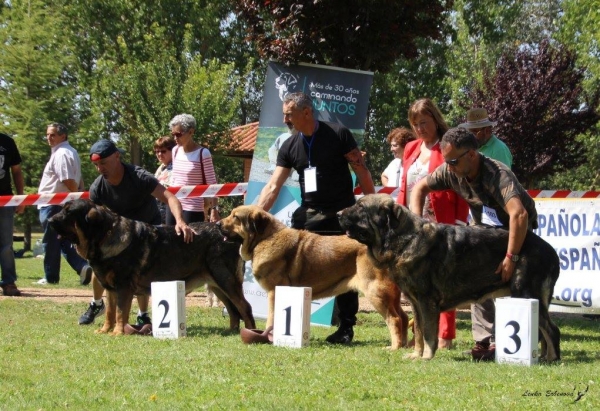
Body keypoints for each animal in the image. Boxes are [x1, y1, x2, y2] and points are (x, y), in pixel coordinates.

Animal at [47, 200, 253, 338]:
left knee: (244, 306)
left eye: (68, 212)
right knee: (233, 310)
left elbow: (120, 312)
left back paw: (250, 331)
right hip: (217, 284)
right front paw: (105, 330)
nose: (49, 220)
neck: (104, 236)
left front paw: (118, 332)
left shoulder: (123, 287)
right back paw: (231, 331)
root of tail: (230, 236)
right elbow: (110, 312)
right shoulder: (111, 289)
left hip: (226, 280)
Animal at [340, 195, 560, 362]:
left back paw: (552, 358)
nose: (338, 214)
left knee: (552, 329)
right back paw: (544, 357)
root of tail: (551, 251)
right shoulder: (416, 303)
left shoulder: (427, 302)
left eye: (361, 207)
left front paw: (426, 357)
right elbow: (419, 332)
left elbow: (429, 333)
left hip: (526, 292)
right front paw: (416, 354)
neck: (404, 240)